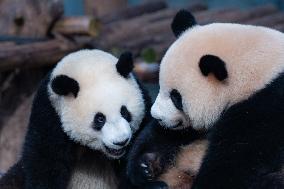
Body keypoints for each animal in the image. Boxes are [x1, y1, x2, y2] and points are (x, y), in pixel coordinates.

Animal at [127, 9, 284, 189]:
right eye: (160, 85)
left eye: (176, 97)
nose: (157, 116)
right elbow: (168, 135)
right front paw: (146, 165)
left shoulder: (265, 106)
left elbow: (235, 164)